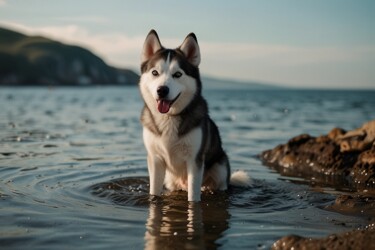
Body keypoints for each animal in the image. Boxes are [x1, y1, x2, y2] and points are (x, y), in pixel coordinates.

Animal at [138, 29, 250, 201]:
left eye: (177, 74)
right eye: (155, 73)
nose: (162, 90)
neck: (169, 117)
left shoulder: (194, 160)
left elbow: (193, 197)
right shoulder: (155, 159)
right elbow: (154, 190)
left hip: (220, 167)